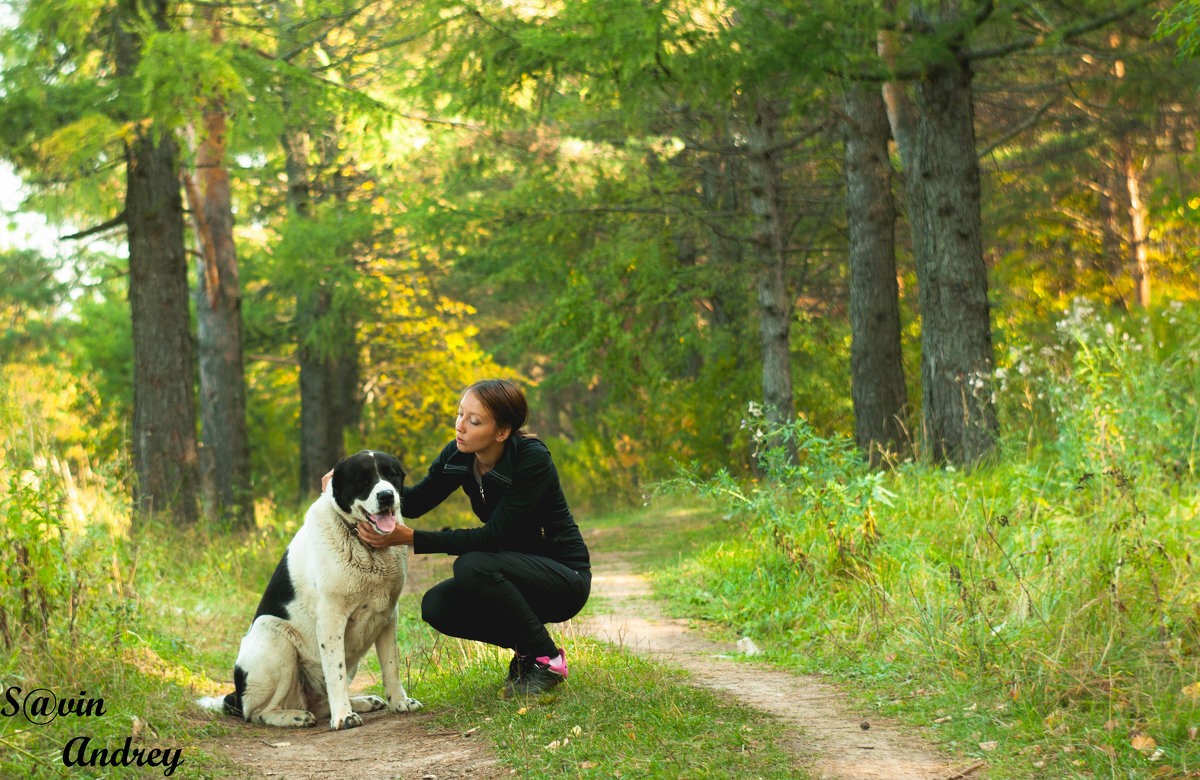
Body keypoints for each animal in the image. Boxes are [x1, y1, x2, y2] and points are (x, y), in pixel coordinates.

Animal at [210, 446, 422, 724]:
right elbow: (335, 672)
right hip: (275, 638)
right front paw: (344, 717)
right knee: (258, 713)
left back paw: (364, 701)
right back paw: (296, 717)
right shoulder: (331, 619)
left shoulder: (387, 615)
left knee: (320, 703)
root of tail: (234, 696)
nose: (387, 496)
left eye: (391, 475)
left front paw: (399, 702)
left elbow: (391, 666)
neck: (366, 547)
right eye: (363, 479)